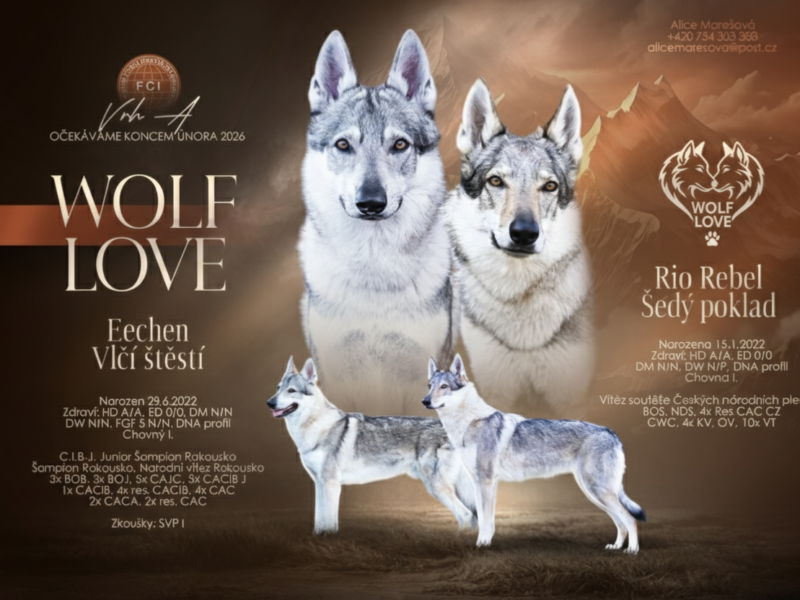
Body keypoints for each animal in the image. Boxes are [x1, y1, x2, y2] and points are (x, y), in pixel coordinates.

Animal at [267, 356, 477, 534]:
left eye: (291, 391)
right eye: (277, 388)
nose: (269, 403)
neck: (316, 427)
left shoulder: (330, 484)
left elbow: (329, 521)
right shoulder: (319, 483)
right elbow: (320, 520)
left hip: (437, 487)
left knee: (466, 515)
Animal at [423, 355, 645, 553]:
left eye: (444, 386)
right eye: (429, 386)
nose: (424, 401)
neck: (467, 423)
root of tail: (612, 433)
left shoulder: (487, 482)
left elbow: (486, 521)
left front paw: (482, 545)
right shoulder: (478, 483)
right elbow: (484, 518)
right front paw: (482, 543)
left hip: (598, 490)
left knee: (630, 519)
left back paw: (631, 550)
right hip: (594, 492)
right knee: (620, 522)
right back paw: (615, 547)